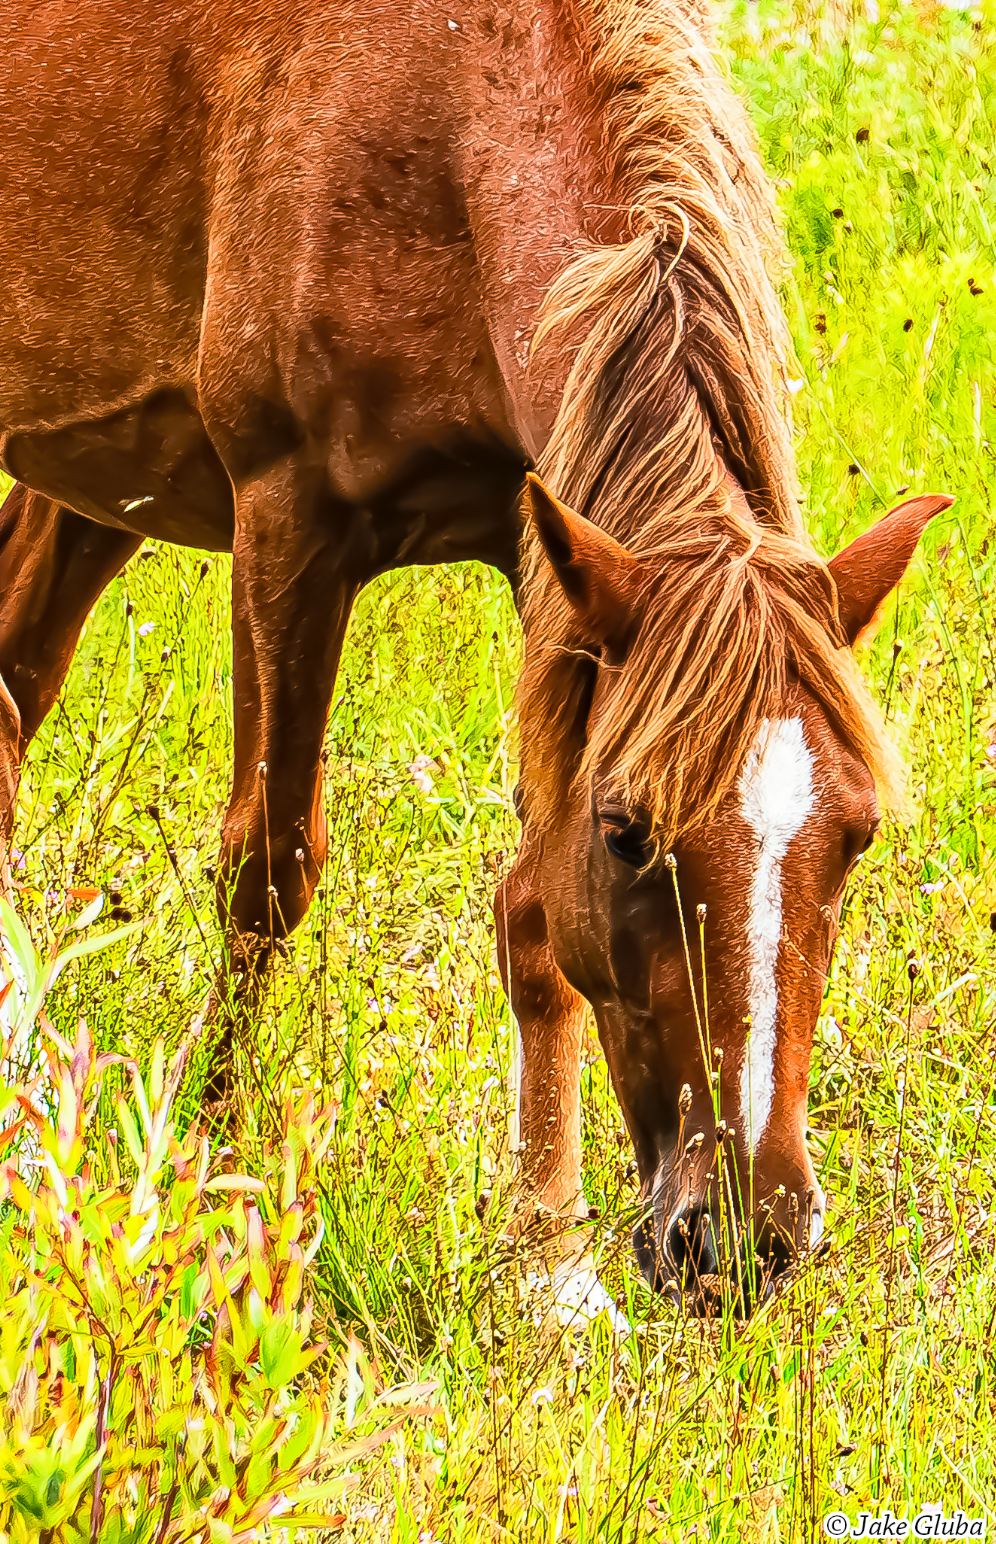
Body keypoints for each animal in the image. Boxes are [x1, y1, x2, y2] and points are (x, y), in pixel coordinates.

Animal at [0, 0, 950, 1312]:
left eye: (856, 835)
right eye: (629, 831)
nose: (743, 1237)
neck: (448, 120)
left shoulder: (546, 538)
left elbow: (534, 913)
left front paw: (549, 1259)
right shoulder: (289, 522)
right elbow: (266, 868)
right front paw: (211, 1168)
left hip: (97, 477)